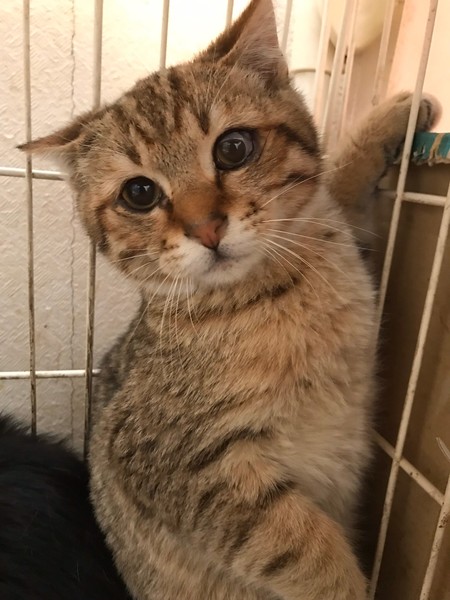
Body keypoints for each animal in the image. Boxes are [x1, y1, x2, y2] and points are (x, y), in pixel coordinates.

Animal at [19, 0, 438, 597]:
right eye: (139, 193)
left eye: (233, 148)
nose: (206, 228)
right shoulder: (182, 465)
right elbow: (302, 547)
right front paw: (346, 585)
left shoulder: (342, 233)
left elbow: (337, 184)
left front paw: (388, 120)